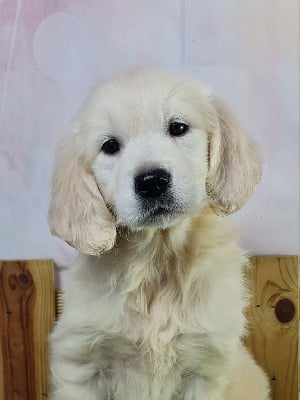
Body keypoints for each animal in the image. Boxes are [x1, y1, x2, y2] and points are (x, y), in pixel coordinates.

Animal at [48, 67, 270, 398]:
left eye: (177, 127)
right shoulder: (81, 365)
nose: (152, 181)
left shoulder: (205, 368)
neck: (157, 259)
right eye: (110, 146)